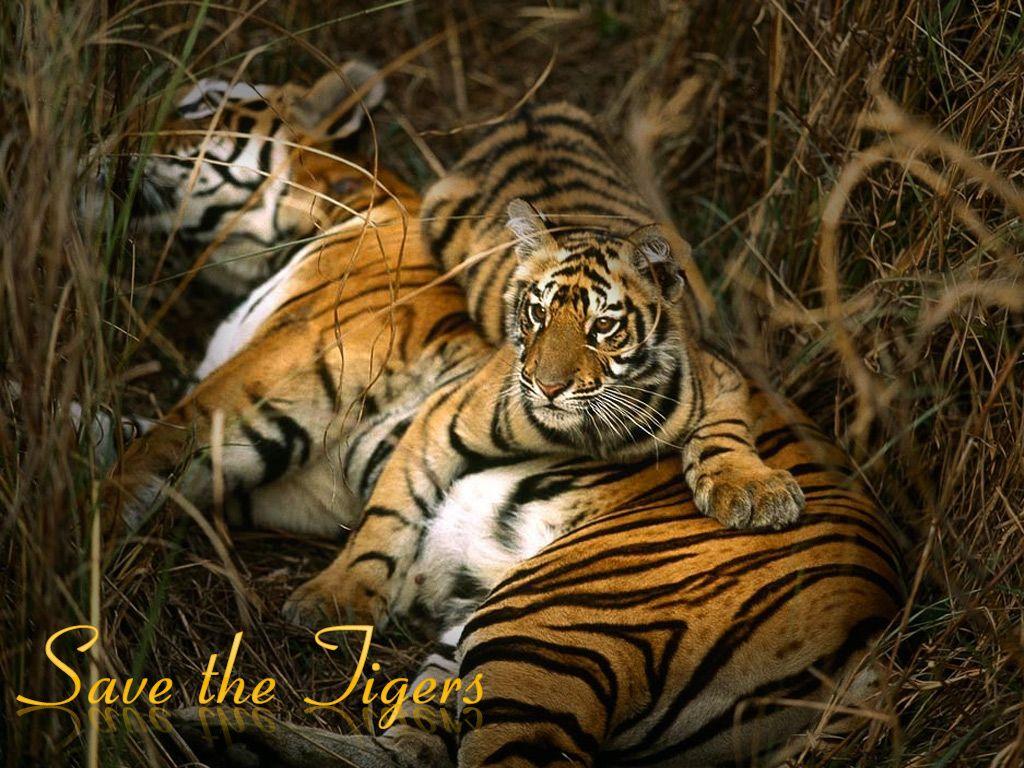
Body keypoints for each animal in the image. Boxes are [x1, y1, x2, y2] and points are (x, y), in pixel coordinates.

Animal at [278, 104, 903, 766]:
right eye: (536, 313)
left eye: (603, 327)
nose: (547, 386)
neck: (586, 432)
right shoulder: (442, 420)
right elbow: (388, 514)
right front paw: (334, 597)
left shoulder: (720, 378)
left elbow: (726, 438)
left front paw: (755, 495)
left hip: (537, 625)